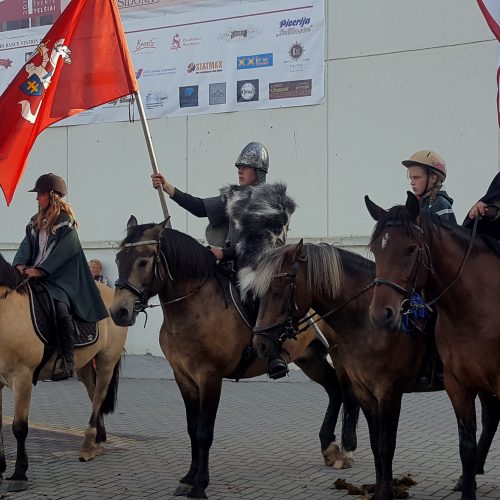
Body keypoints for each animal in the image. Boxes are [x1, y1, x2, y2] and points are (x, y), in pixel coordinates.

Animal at [0, 254, 129, 492]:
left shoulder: (22, 378)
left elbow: (19, 427)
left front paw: (20, 473)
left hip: (106, 362)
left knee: (99, 397)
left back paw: (88, 446)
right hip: (85, 365)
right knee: (93, 394)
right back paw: (98, 440)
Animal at [110, 218, 360, 500]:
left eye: (143, 261)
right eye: (118, 258)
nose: (119, 311)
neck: (195, 306)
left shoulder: (209, 377)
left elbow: (204, 432)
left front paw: (200, 484)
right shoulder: (183, 377)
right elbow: (192, 428)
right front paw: (188, 478)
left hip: (340, 353)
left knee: (348, 393)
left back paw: (348, 448)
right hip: (310, 358)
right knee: (334, 390)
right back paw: (329, 447)